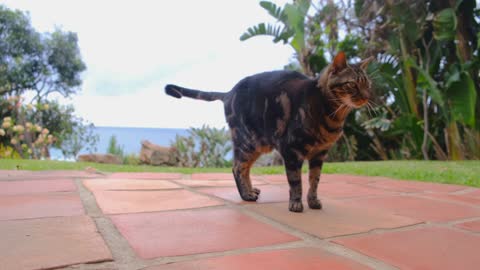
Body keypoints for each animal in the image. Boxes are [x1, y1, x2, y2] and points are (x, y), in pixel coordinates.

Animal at [167, 52, 374, 212]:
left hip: (257, 145)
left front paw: (313, 201)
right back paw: (246, 195)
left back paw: (251, 191)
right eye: (352, 84)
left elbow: (314, 180)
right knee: (237, 167)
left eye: (367, 85)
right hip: (247, 142)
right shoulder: (291, 150)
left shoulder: (319, 154)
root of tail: (228, 93)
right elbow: (296, 181)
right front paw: (296, 204)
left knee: (245, 168)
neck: (332, 115)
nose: (367, 97)